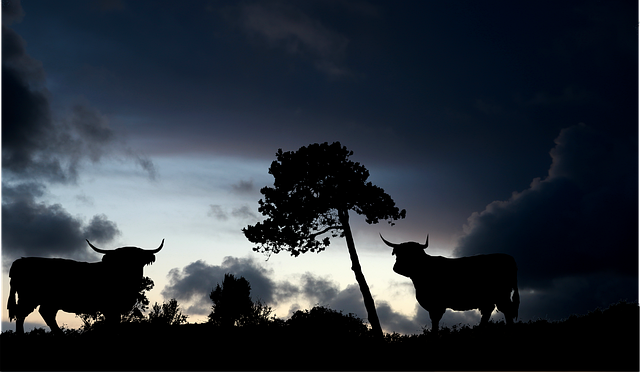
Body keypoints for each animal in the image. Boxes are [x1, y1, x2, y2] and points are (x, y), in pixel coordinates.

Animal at [8, 240, 162, 336]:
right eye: (120, 260)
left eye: (137, 260)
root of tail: (19, 261)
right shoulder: (109, 307)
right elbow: (112, 323)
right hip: (29, 298)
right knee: (22, 315)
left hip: (49, 301)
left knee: (45, 313)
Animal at [382, 234, 516, 332]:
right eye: (398, 253)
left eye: (412, 253)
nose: (397, 267)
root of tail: (509, 258)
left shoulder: (436, 305)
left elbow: (435, 321)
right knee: (489, 311)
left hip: (501, 295)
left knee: (506, 310)